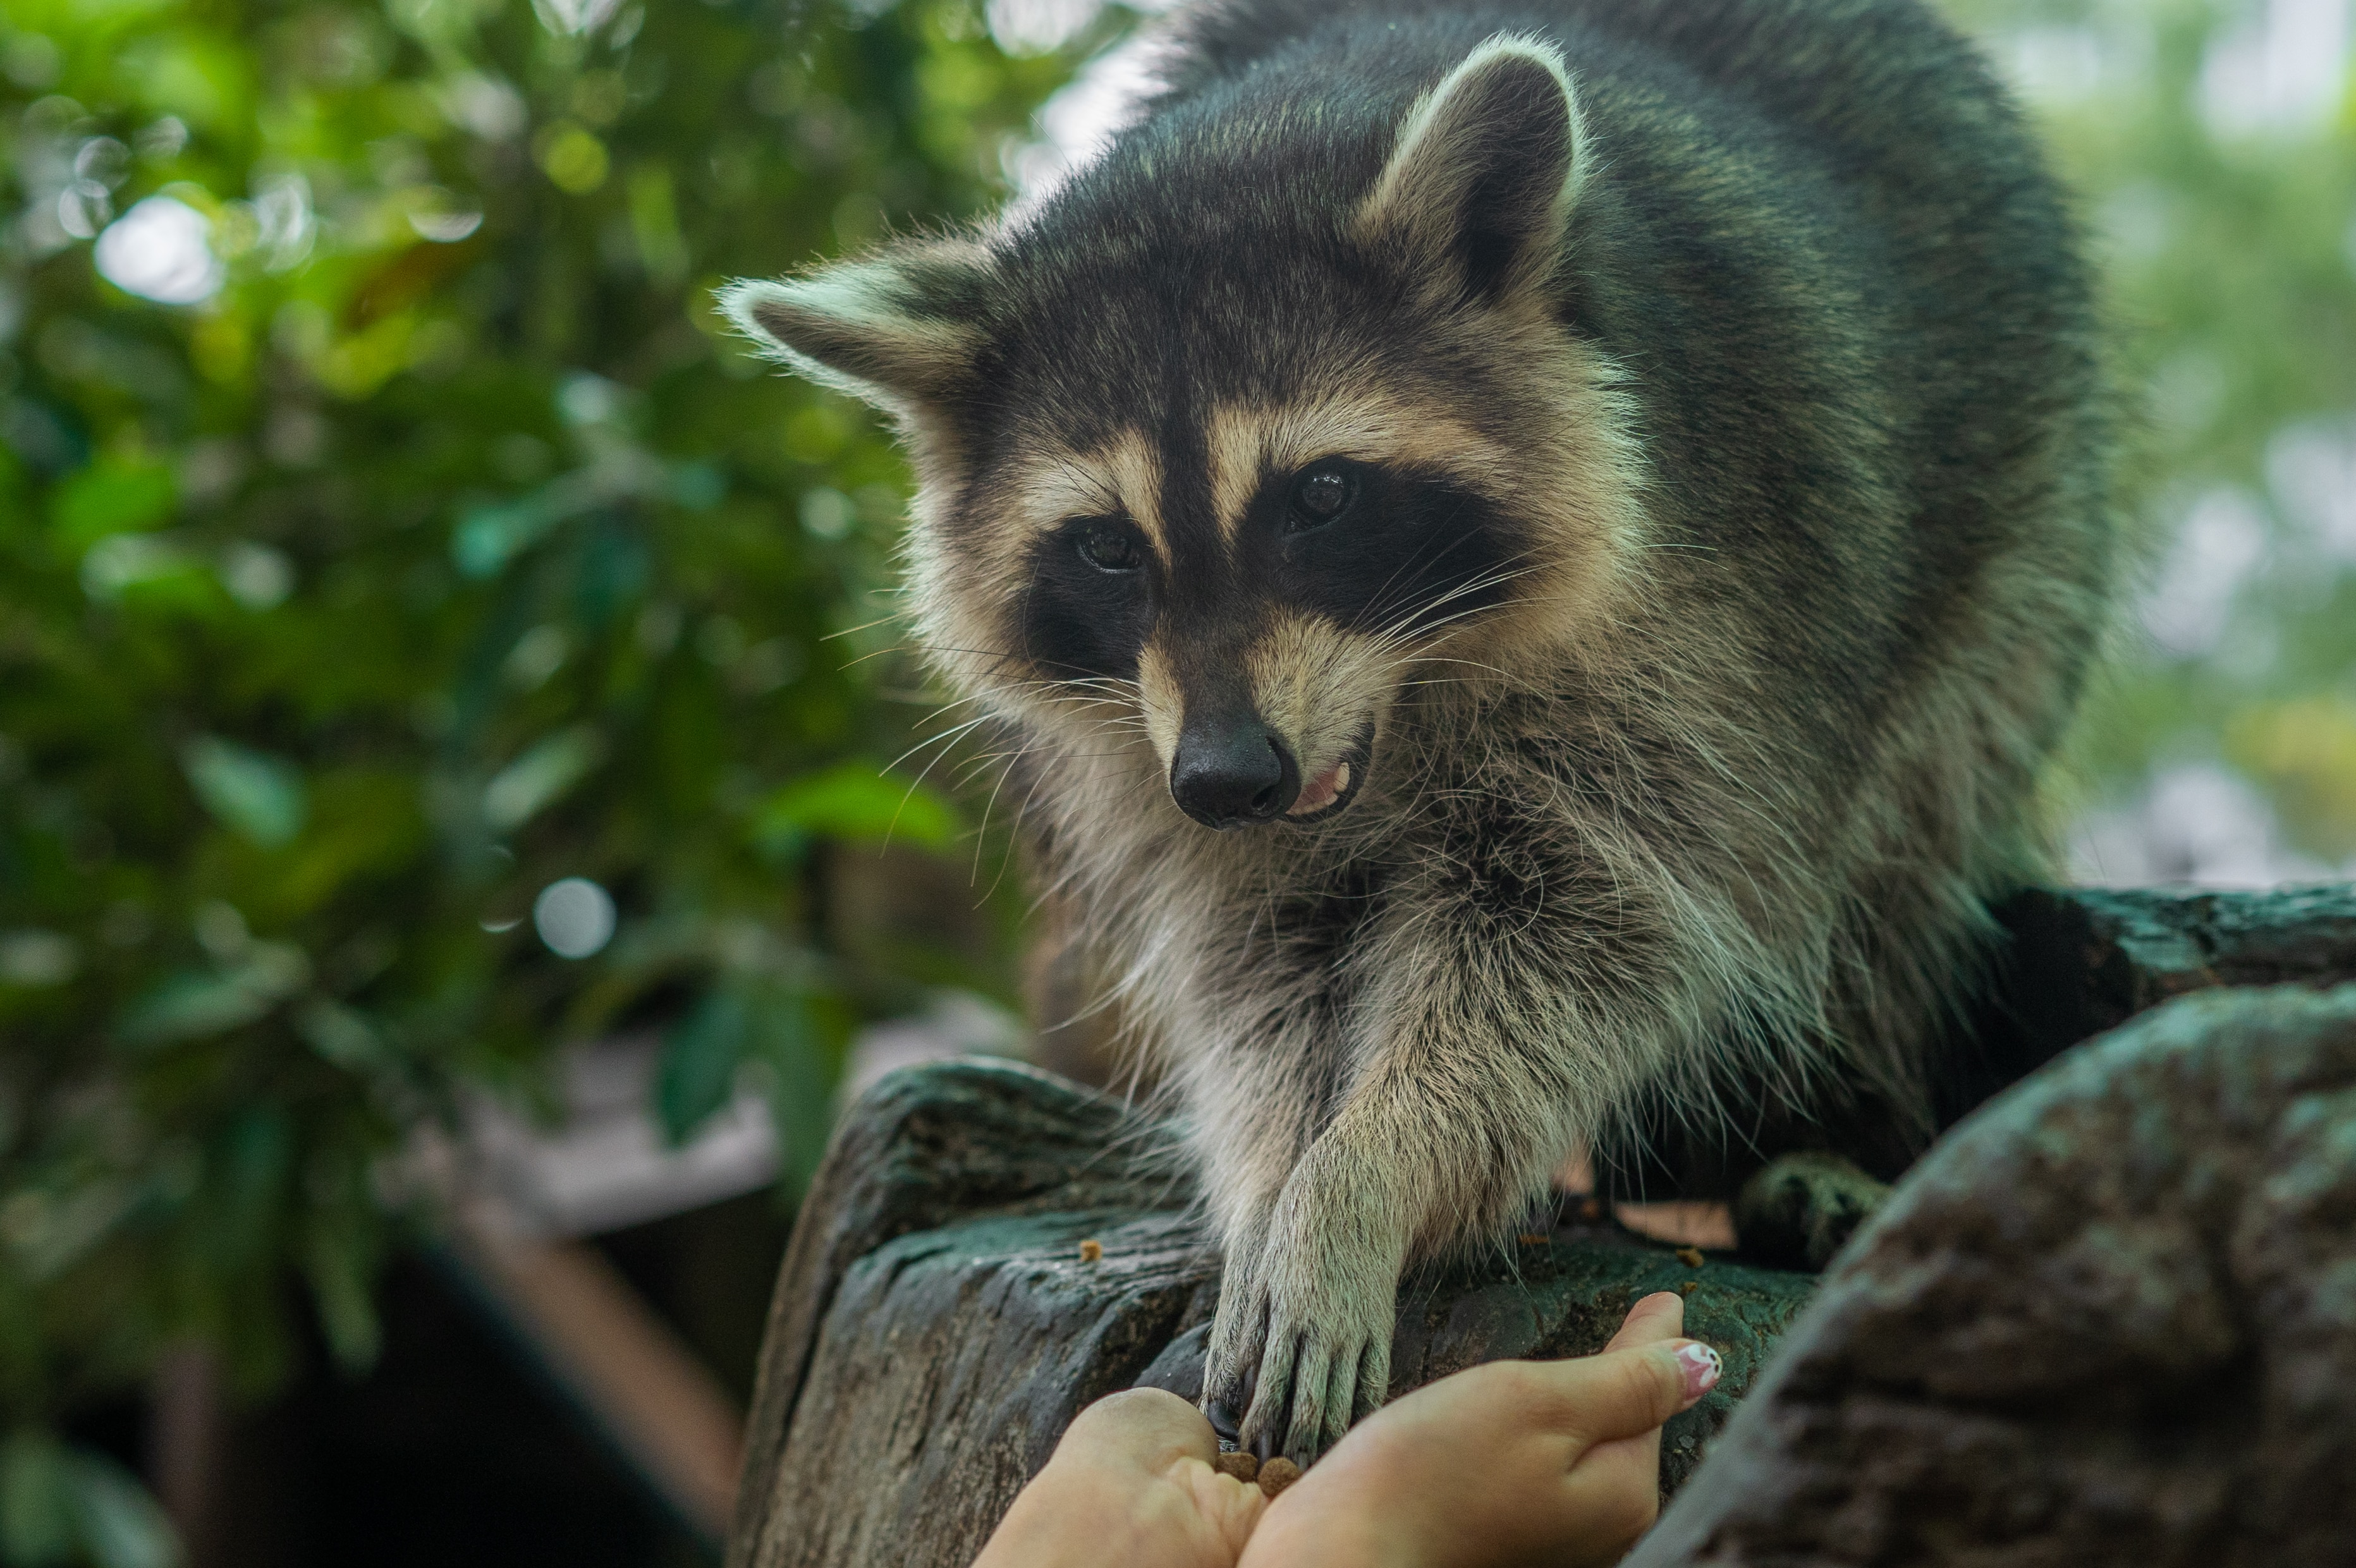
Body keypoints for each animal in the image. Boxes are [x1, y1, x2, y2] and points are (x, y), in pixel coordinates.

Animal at [724, 0, 2116, 1466]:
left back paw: (1827, 1125)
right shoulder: (1148, 756)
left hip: (2018, 549)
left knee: (1894, 858)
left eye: (1323, 495)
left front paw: (1362, 1178)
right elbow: (1258, 971)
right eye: (1106, 548)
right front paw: (1278, 1181)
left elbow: (1583, 932)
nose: (1229, 779)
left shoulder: (1710, 618)